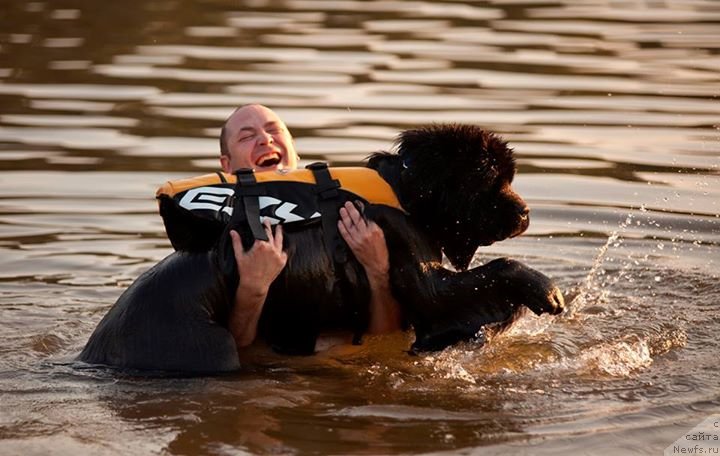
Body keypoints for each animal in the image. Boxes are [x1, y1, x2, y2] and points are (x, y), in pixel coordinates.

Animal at [79, 124, 564, 374]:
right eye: (490, 178)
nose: (526, 214)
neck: (406, 190)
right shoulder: (422, 272)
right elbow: (490, 273)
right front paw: (545, 290)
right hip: (204, 348)